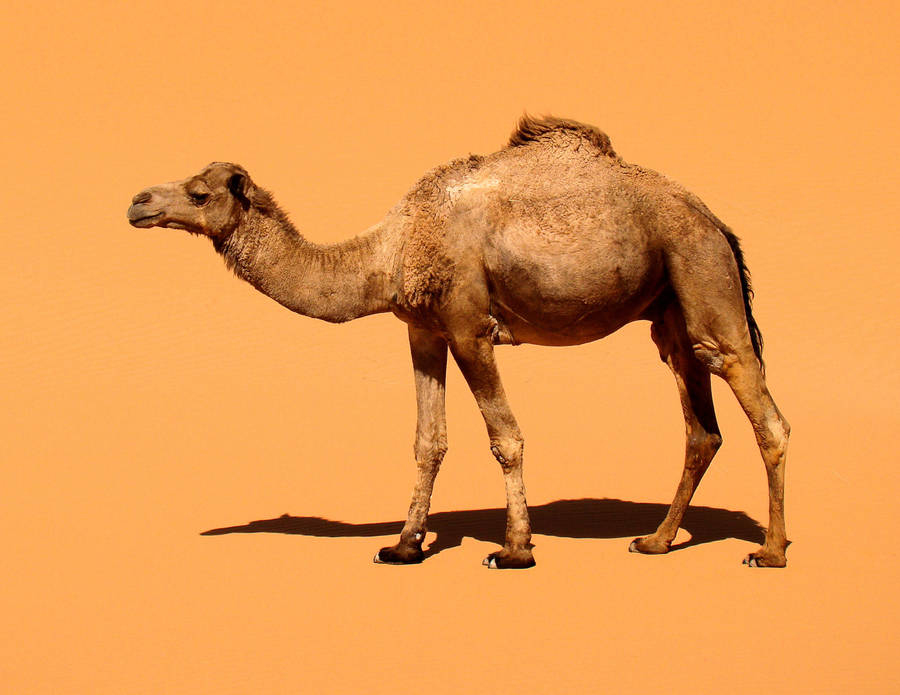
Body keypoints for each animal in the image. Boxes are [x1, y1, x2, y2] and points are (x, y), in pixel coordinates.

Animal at [127, 115, 790, 569]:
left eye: (200, 192)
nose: (137, 201)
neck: (389, 251)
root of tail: (717, 222)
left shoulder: (470, 326)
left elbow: (506, 437)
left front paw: (515, 549)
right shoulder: (422, 328)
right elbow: (429, 440)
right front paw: (403, 546)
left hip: (705, 281)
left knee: (765, 413)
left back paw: (770, 551)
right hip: (670, 315)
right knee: (701, 428)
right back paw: (655, 541)